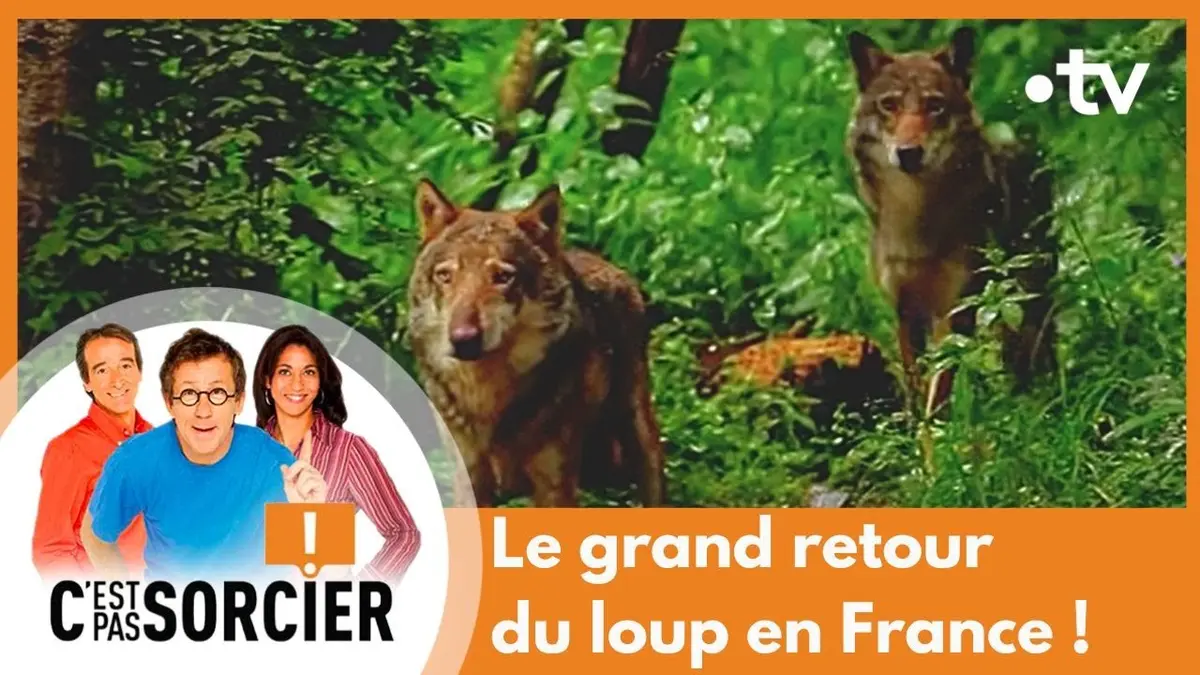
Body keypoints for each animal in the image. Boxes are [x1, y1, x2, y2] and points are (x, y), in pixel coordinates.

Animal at [406, 179, 667, 508]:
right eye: (445, 276)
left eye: (503, 276)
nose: (463, 338)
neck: (488, 399)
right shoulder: (471, 481)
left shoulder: (555, 487)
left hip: (636, 425)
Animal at [844, 26, 1059, 428]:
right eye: (889, 105)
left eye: (935, 106)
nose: (908, 153)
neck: (916, 220)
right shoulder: (905, 312)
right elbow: (916, 387)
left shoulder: (955, 310)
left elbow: (939, 389)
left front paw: (937, 442)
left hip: (1022, 304)